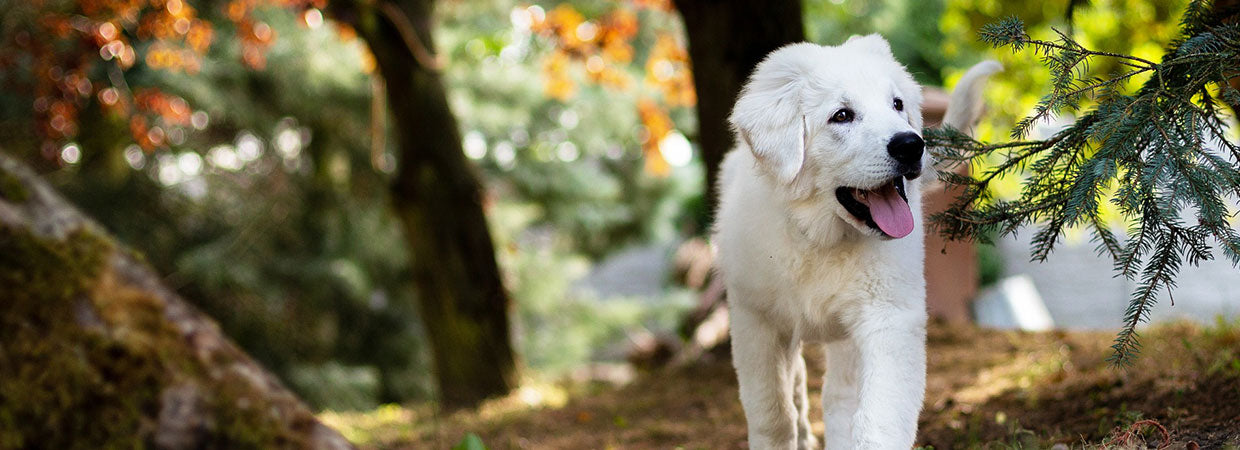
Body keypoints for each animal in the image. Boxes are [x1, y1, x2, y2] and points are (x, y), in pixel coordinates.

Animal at [719, 36, 996, 450]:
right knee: (799, 388)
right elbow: (772, 413)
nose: (911, 145)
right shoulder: (755, 320)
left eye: (897, 105)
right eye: (842, 115)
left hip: (847, 336)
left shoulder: (889, 316)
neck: (819, 238)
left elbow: (877, 418)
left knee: (838, 398)